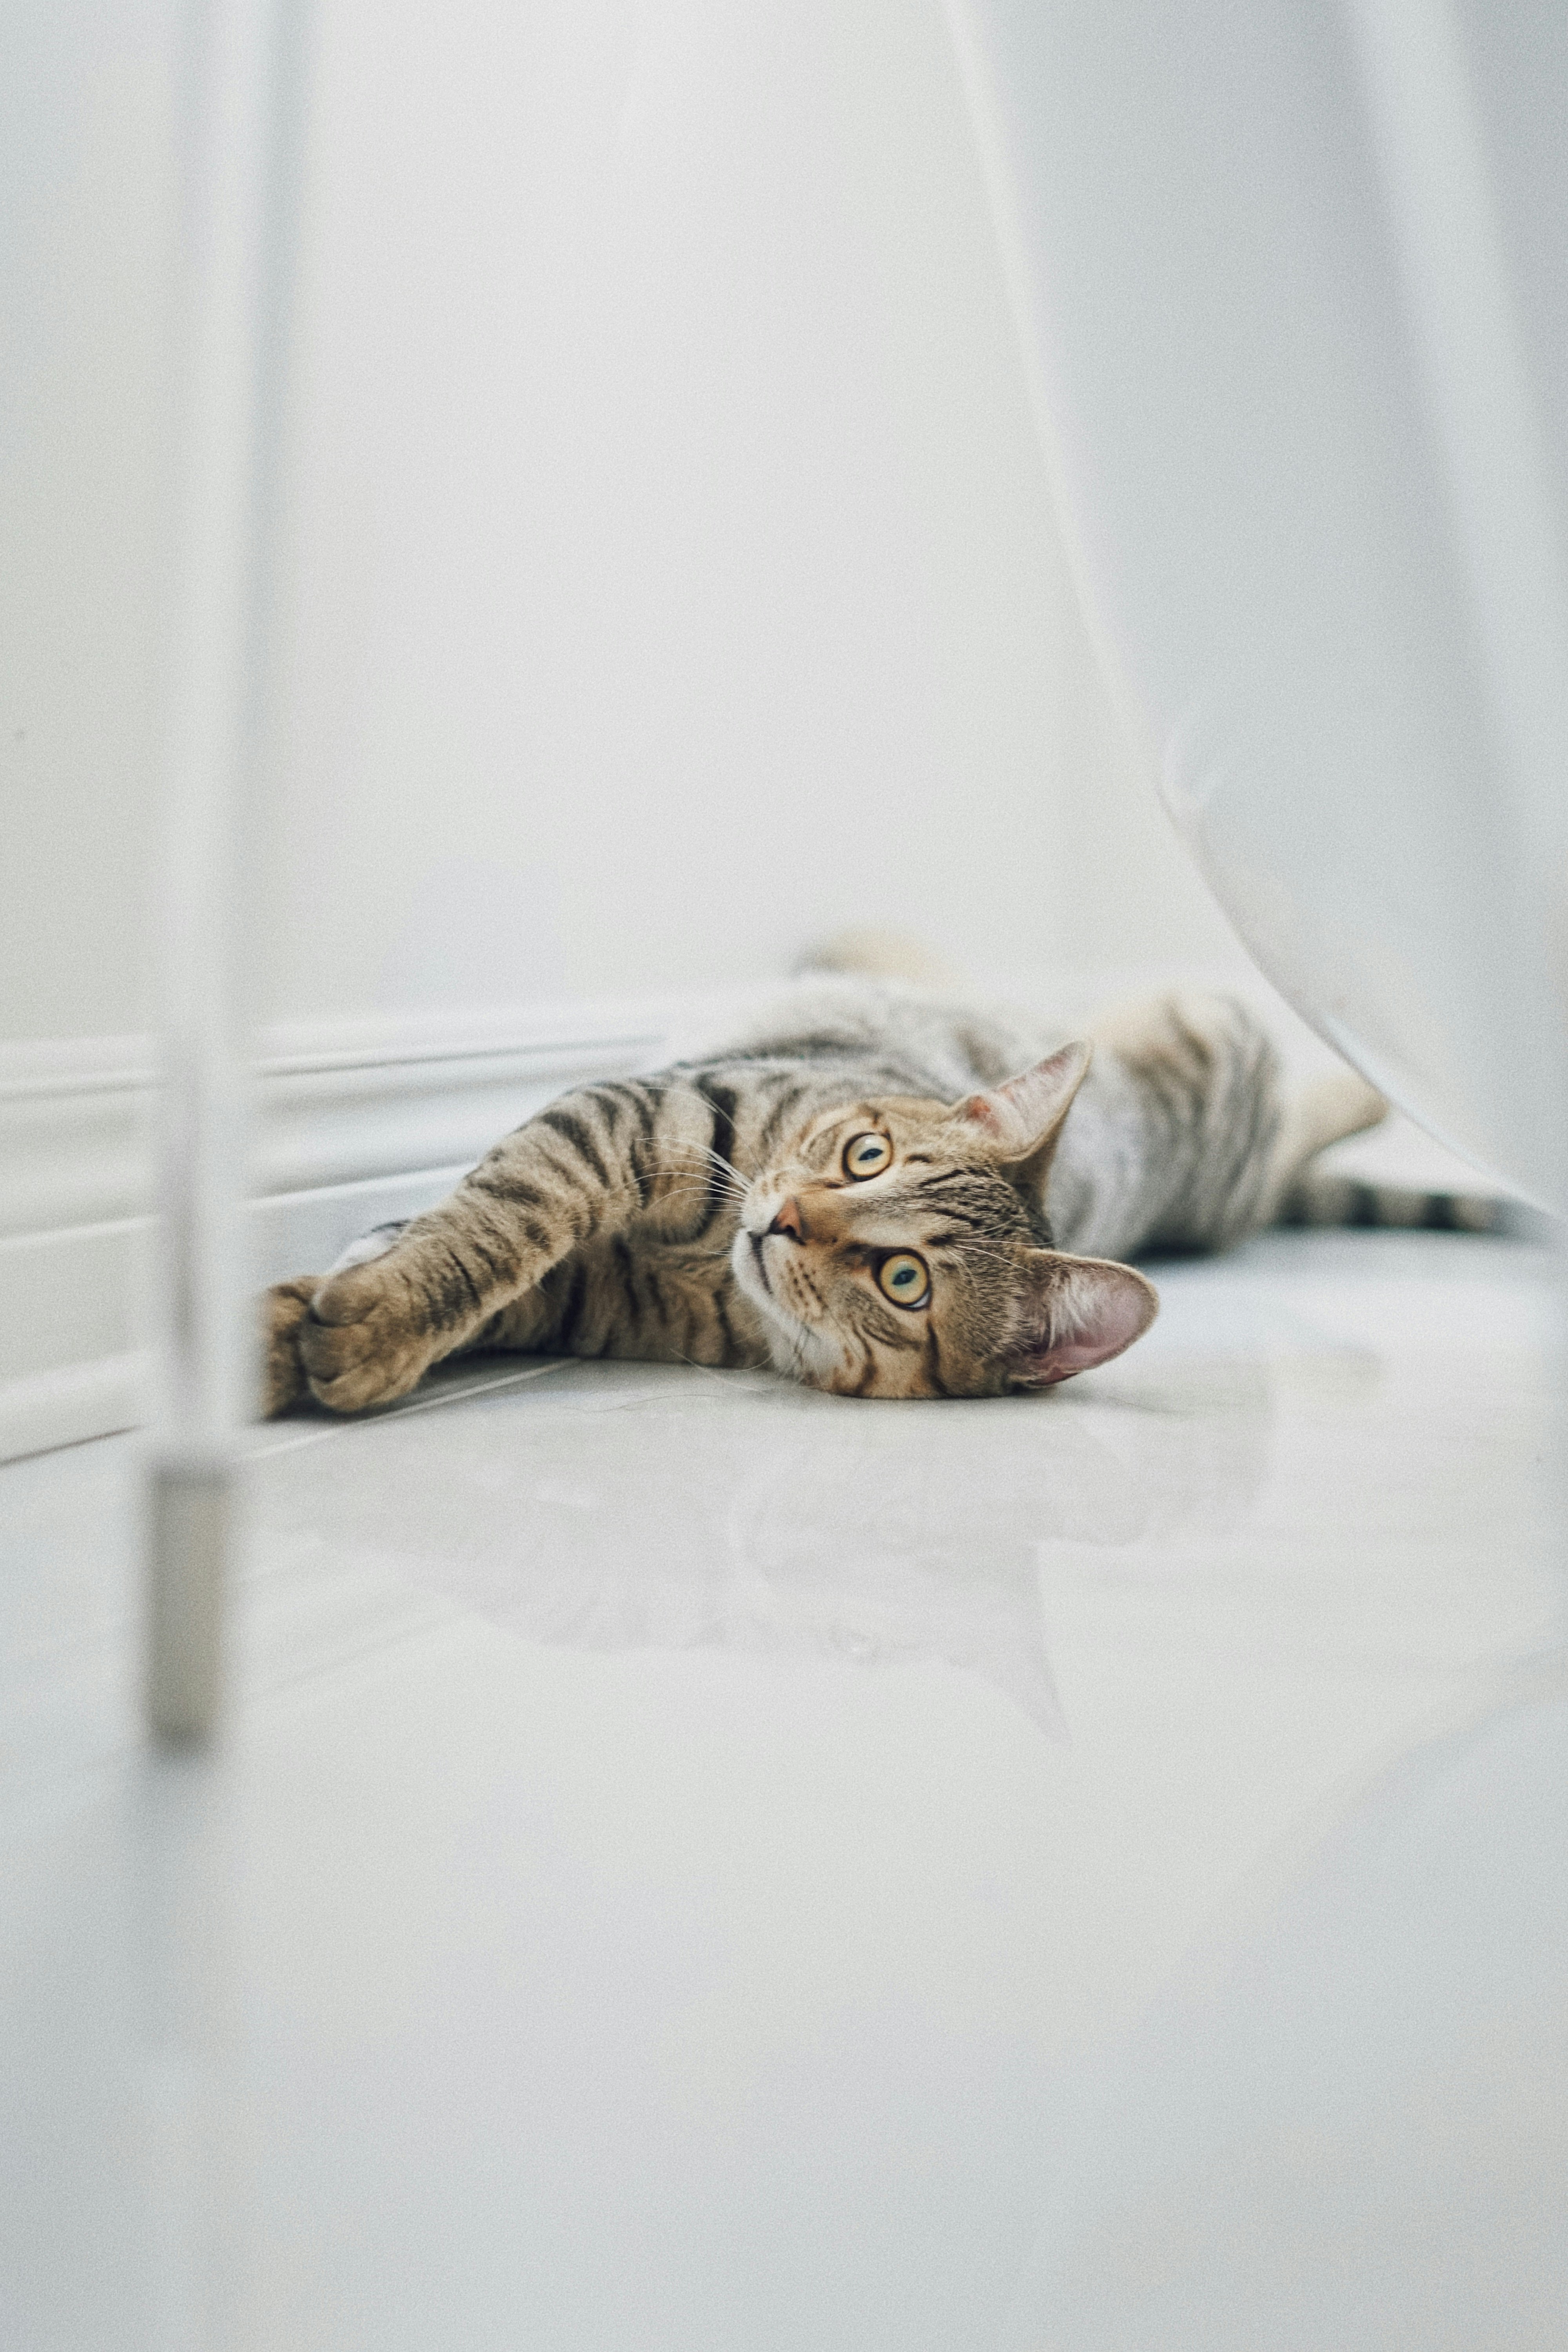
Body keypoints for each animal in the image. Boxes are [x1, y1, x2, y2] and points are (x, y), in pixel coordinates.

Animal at [255, 946, 1448, 1402]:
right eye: (864, 1154)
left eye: (904, 1283)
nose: (783, 1221)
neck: (702, 1265)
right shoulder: (634, 1116)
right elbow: (495, 1219)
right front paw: (311, 1318)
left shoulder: (588, 1287)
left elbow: (490, 1256)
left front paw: (356, 1329)